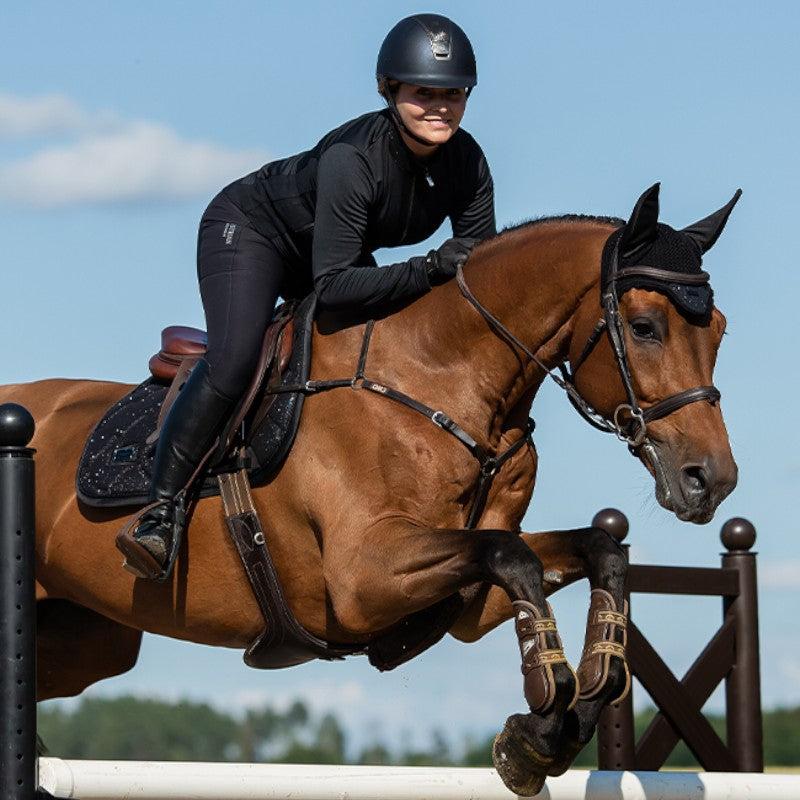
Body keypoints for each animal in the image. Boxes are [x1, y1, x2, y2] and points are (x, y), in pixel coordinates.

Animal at [1, 184, 736, 796]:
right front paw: (546, 702)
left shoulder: (464, 602)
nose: (711, 480)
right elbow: (514, 556)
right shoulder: (362, 581)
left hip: (85, 643)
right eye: (644, 327)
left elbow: (591, 553)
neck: (442, 381)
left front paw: (553, 726)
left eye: (720, 330)